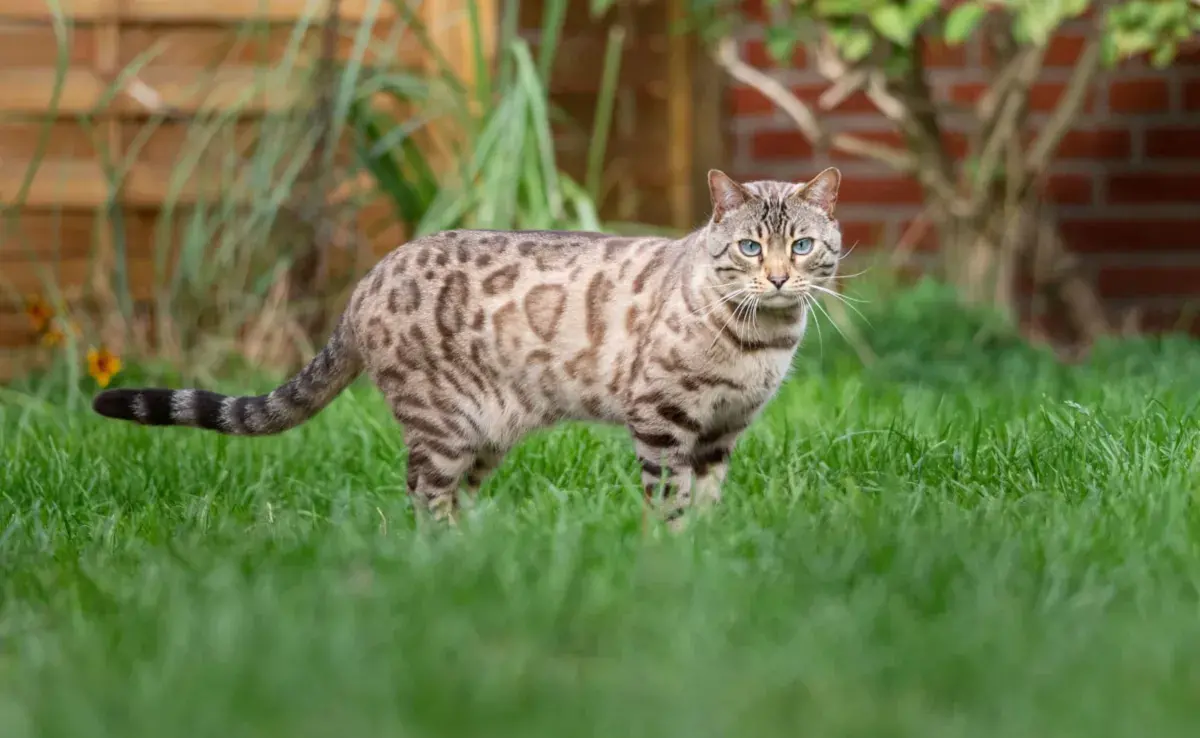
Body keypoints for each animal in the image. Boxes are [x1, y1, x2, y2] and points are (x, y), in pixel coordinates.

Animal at [91, 166, 844, 528]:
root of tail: (368, 279)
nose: (780, 276)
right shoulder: (661, 420)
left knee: (450, 500)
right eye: (750, 247)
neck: (761, 341)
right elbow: (668, 502)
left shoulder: (721, 433)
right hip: (446, 425)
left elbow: (708, 502)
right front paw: (672, 553)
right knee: (422, 497)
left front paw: (707, 553)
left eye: (803, 245)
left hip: (486, 433)